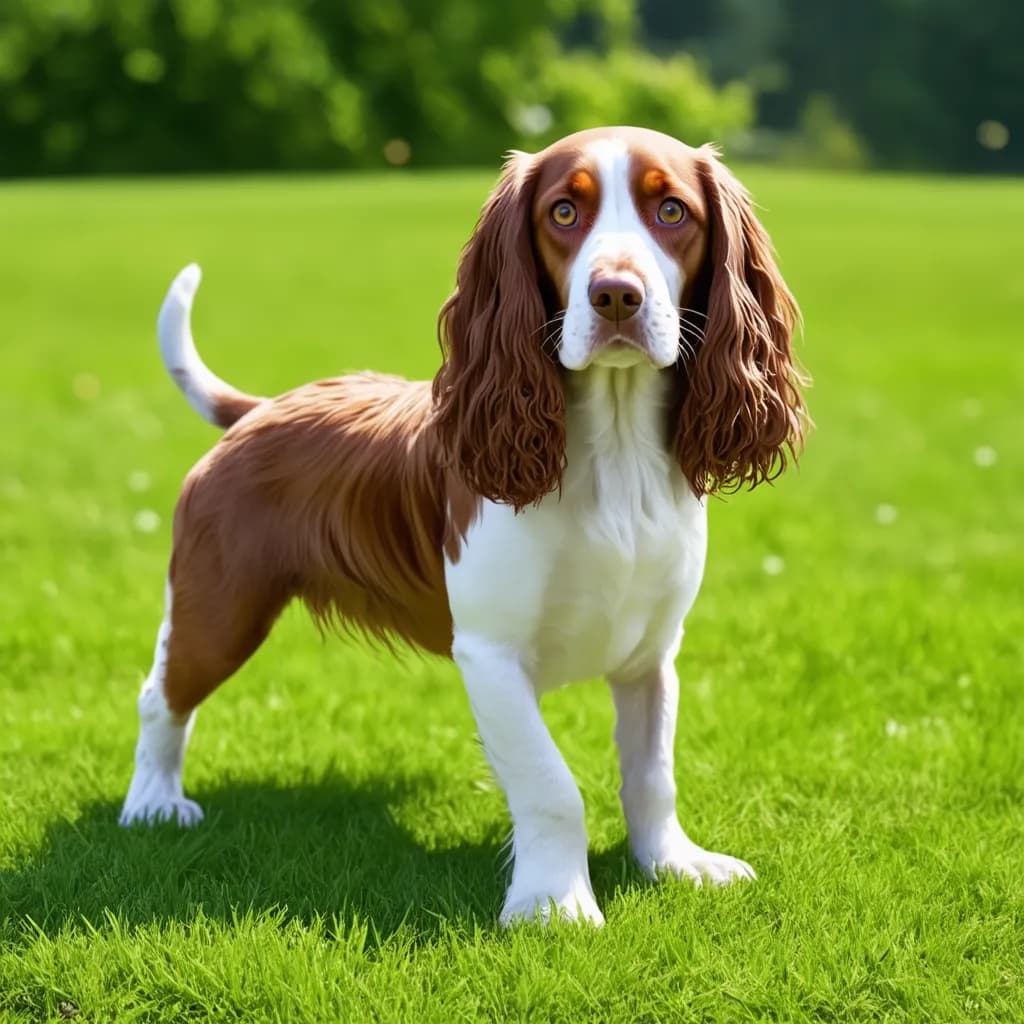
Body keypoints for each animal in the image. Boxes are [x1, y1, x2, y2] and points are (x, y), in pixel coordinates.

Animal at [119, 125, 802, 929]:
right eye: (564, 212)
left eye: (672, 210)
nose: (616, 294)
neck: (615, 450)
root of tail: (260, 410)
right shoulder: (491, 653)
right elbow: (550, 784)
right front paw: (555, 904)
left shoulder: (650, 654)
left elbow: (652, 775)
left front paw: (674, 864)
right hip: (220, 608)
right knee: (163, 694)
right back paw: (153, 804)